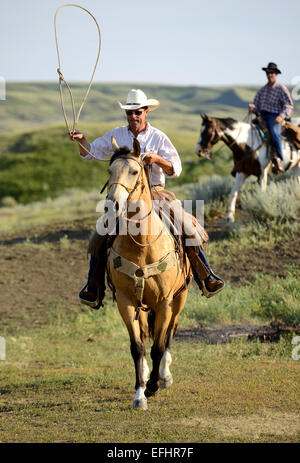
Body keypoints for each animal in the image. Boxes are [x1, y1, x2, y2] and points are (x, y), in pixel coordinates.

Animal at [104, 137, 191, 410]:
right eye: (109, 171)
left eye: (134, 171)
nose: (112, 205)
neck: (142, 245)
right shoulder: (126, 301)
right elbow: (138, 347)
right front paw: (140, 393)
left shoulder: (164, 302)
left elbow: (158, 347)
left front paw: (154, 385)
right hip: (142, 306)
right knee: (144, 335)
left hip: (179, 299)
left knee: (170, 334)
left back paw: (164, 375)